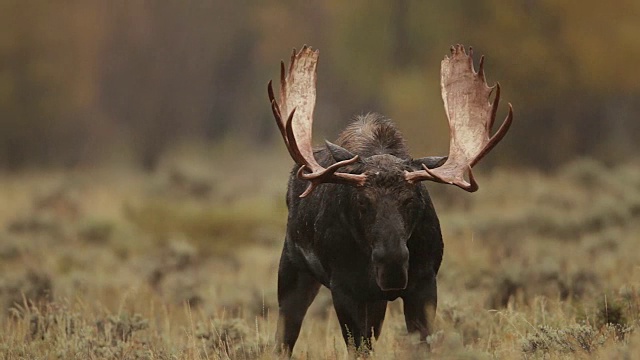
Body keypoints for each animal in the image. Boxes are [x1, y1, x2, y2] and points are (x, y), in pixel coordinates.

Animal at [268, 43, 512, 352]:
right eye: (362, 202)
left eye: (411, 199)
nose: (392, 264)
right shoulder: (344, 288)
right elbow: (358, 348)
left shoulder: (424, 284)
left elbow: (422, 343)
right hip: (292, 269)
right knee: (284, 336)